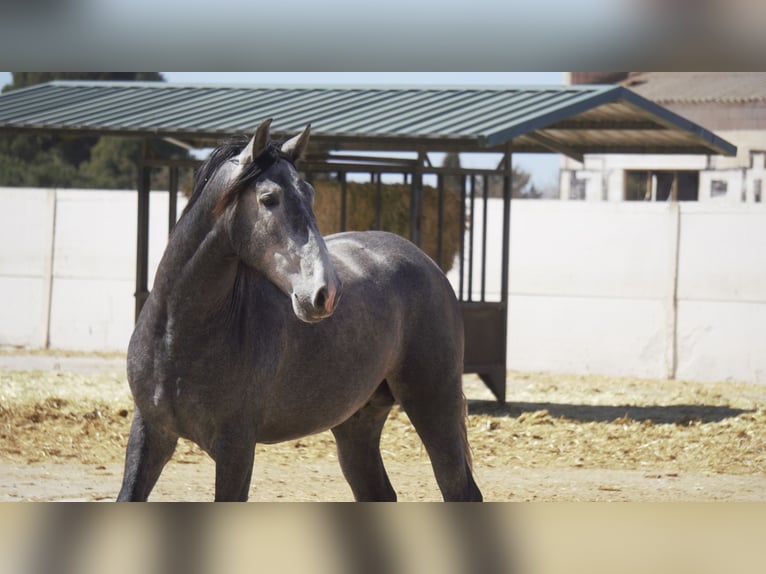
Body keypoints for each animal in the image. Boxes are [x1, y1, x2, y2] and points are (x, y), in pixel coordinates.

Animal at [117, 119, 484, 502]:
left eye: (309, 193)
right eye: (268, 199)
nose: (326, 293)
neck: (177, 333)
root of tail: (428, 264)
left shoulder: (236, 447)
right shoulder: (150, 432)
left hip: (433, 405)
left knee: (460, 489)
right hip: (357, 425)